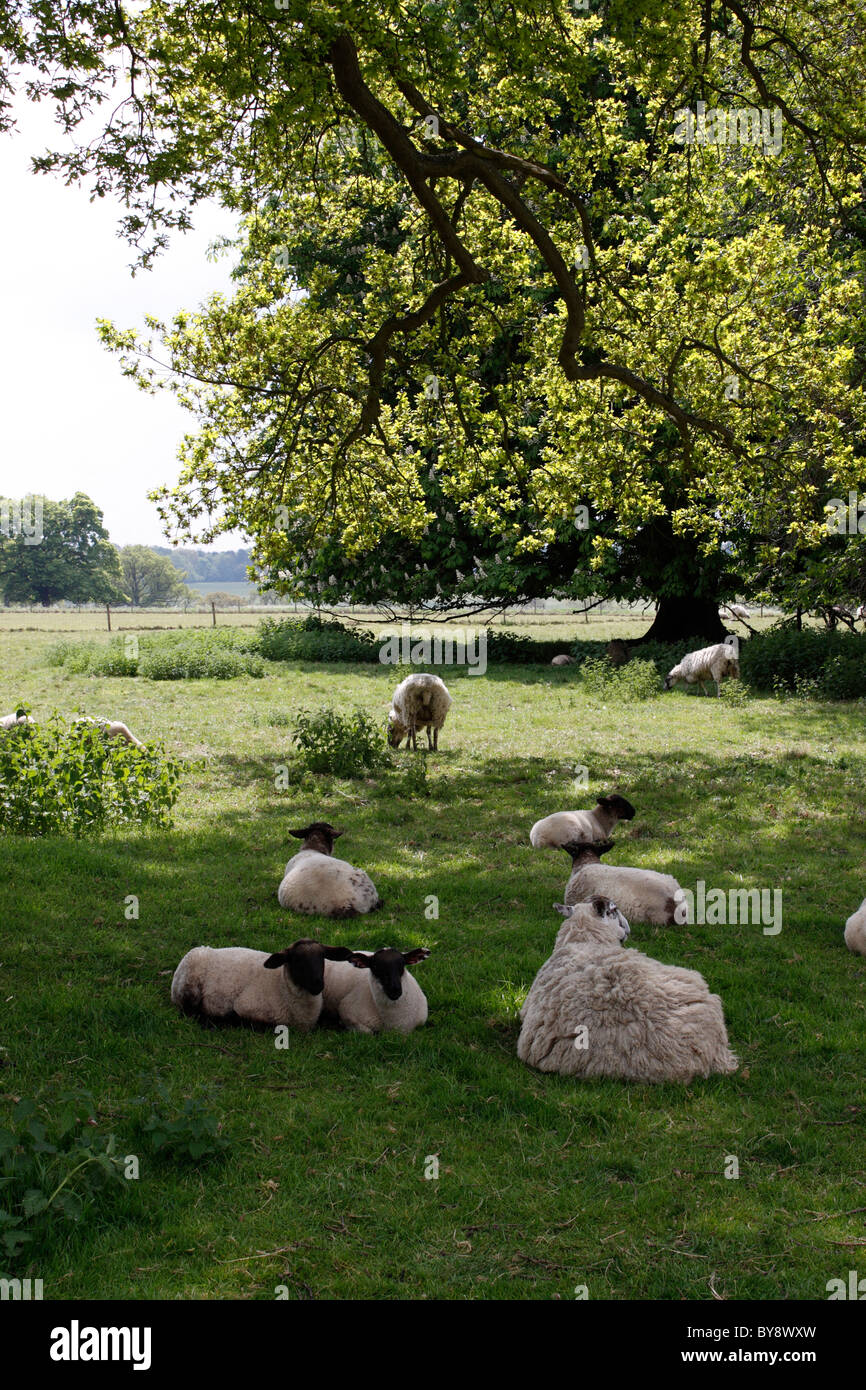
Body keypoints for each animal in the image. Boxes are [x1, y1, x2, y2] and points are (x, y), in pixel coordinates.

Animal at [169, 934, 353, 1034]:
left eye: (322, 957)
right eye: (296, 960)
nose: (317, 985)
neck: (282, 987)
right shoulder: (247, 1007)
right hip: (189, 987)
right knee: (190, 1011)